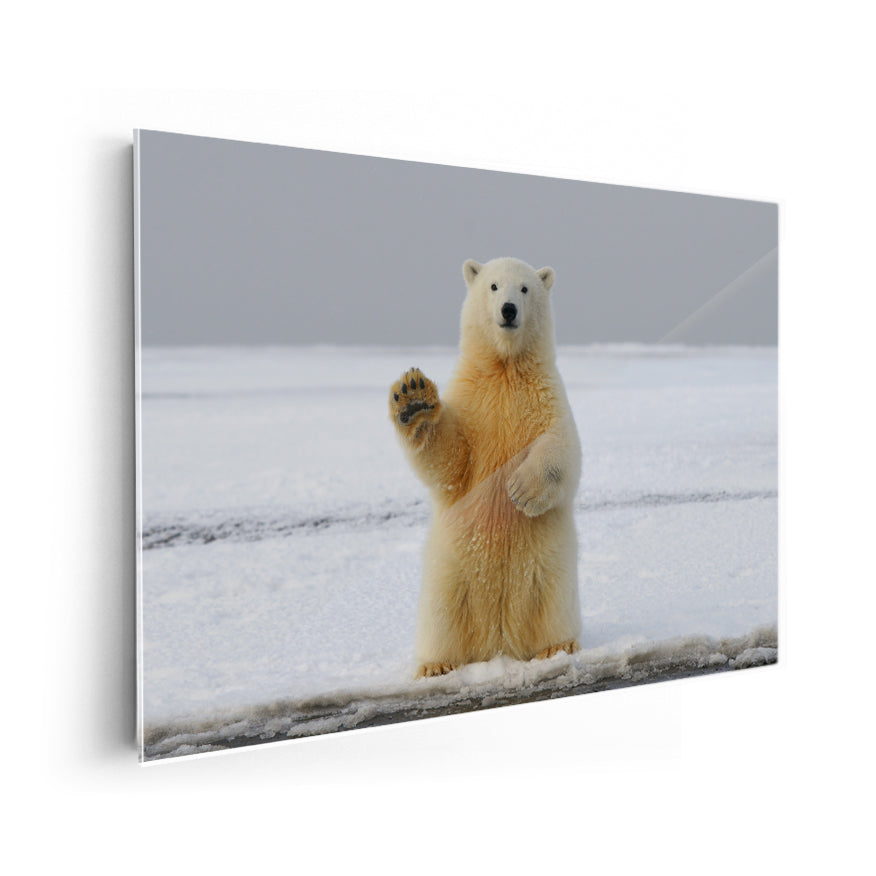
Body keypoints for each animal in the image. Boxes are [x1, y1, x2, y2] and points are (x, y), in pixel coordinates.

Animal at [389, 256, 582, 678]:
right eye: (493, 286)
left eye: (524, 288)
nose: (508, 310)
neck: (505, 368)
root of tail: (499, 641)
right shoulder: (473, 401)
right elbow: (451, 461)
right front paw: (413, 398)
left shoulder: (547, 397)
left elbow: (563, 450)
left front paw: (521, 490)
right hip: (449, 573)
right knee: (442, 617)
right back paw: (436, 666)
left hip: (550, 569)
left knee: (552, 603)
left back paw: (557, 646)